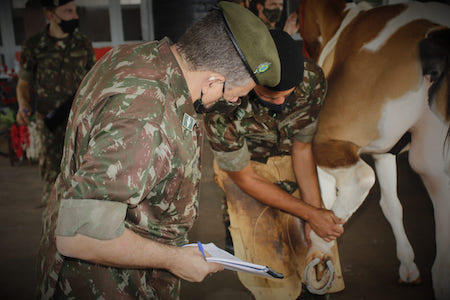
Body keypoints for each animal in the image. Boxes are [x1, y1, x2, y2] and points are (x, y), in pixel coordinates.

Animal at [296, 0, 450, 300]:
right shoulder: (385, 150)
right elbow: (391, 205)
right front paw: (408, 267)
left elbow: (323, 200)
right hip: (435, 166)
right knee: (441, 268)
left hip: (328, 137)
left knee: (361, 179)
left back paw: (317, 250)